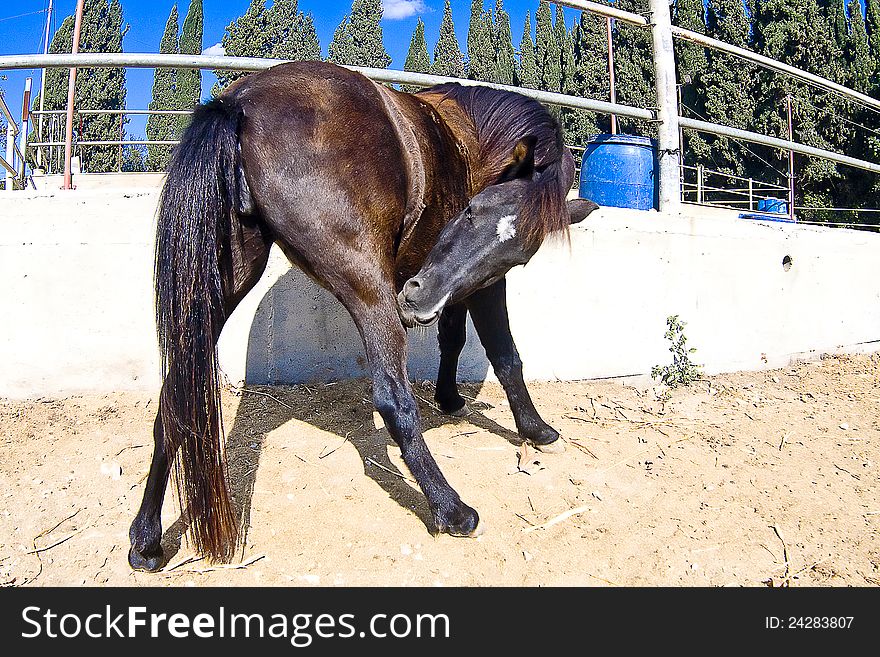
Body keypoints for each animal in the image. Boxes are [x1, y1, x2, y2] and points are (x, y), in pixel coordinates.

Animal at [129, 60, 600, 568]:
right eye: (473, 210)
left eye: (518, 255)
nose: (416, 298)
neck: (472, 140)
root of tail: (241, 101)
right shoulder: (483, 289)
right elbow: (506, 357)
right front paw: (535, 428)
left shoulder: (461, 284)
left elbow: (452, 338)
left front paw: (450, 397)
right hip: (369, 288)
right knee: (393, 400)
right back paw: (451, 508)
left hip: (226, 282)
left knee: (175, 401)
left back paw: (145, 539)